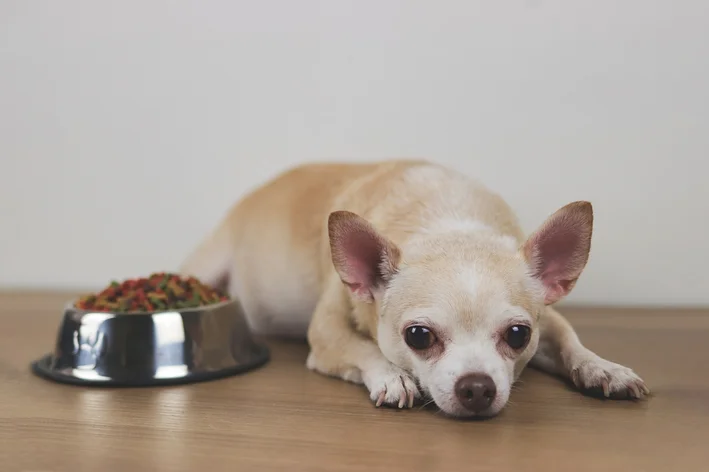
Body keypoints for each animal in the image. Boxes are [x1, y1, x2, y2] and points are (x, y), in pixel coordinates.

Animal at [181, 160, 648, 418]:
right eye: (418, 337)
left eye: (518, 335)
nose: (478, 387)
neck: (447, 221)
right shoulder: (327, 335)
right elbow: (364, 348)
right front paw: (393, 377)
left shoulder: (548, 318)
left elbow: (571, 340)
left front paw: (603, 368)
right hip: (207, 263)